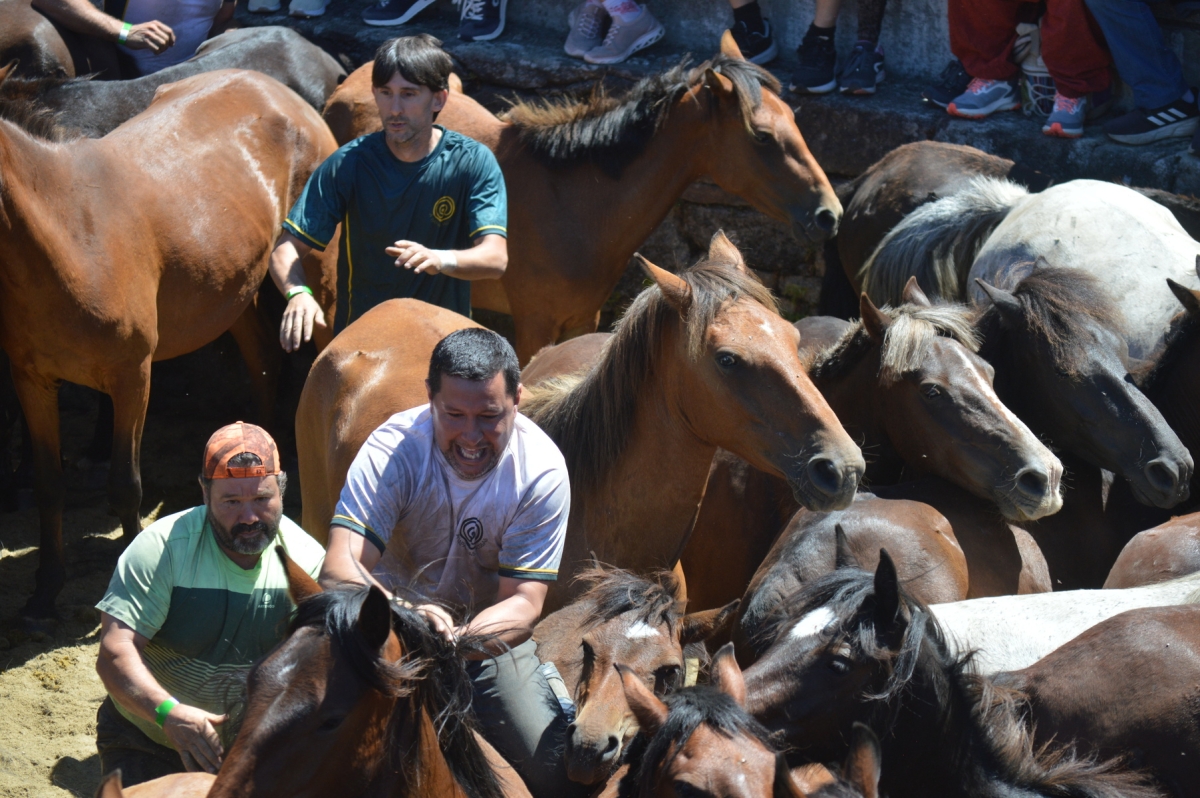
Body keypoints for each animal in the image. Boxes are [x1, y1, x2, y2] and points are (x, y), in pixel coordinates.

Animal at [0, 69, 337, 619]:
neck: (70, 234)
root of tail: (278, 89)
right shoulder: (32, 378)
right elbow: (49, 485)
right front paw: (44, 591)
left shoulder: (132, 376)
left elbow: (124, 485)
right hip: (231, 295)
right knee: (264, 359)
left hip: (316, 274)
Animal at [322, 33, 842, 363]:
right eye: (762, 137)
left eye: (795, 119)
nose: (828, 214)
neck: (571, 205)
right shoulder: (535, 324)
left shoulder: (582, 319)